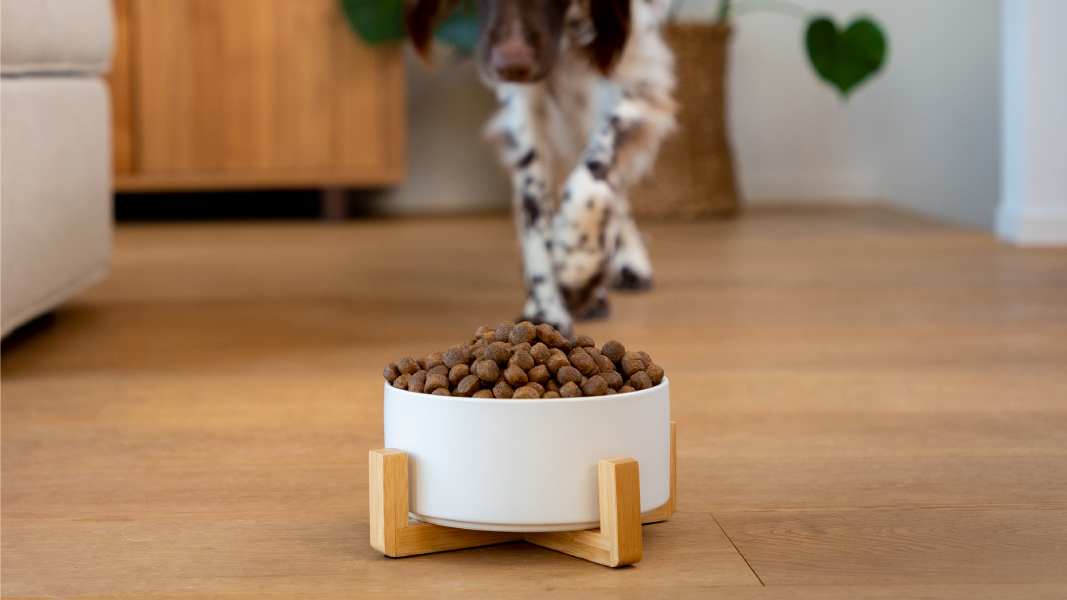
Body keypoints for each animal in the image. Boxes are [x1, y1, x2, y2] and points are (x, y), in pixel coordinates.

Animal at [407, 0, 674, 333]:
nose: (511, 62)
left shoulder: (635, 73)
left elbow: (594, 178)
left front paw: (575, 266)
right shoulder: (523, 99)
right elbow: (535, 210)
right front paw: (546, 307)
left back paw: (622, 261)